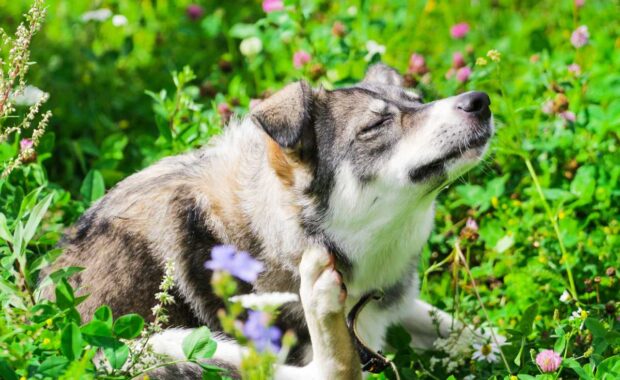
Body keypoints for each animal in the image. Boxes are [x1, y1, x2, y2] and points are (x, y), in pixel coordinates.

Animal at [46, 63, 494, 378]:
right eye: (376, 124)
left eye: (418, 100)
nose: (480, 100)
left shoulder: (392, 306)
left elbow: (473, 332)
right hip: (155, 346)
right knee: (325, 373)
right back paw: (321, 300)